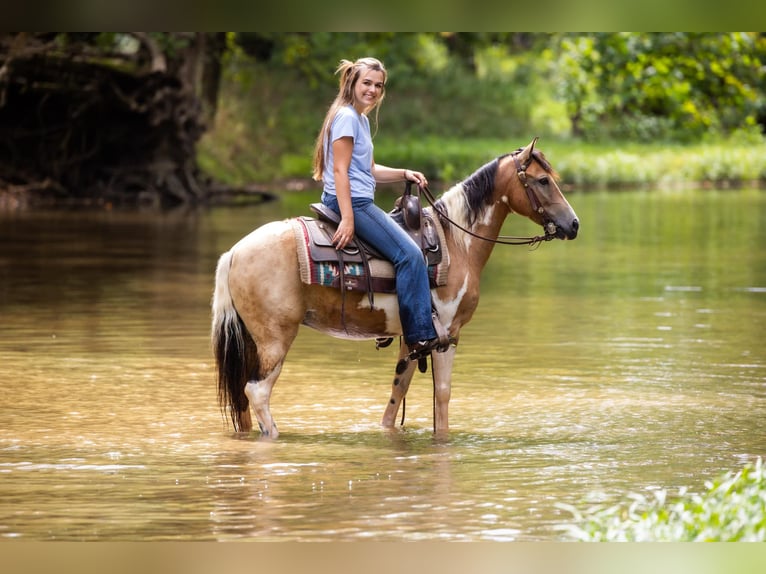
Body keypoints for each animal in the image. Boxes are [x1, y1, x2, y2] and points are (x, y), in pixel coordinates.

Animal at [212, 137, 579, 439]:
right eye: (543, 181)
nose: (573, 224)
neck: (457, 242)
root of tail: (234, 253)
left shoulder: (413, 338)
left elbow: (396, 396)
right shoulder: (448, 335)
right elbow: (442, 398)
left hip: (250, 340)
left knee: (241, 400)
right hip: (275, 339)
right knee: (257, 392)